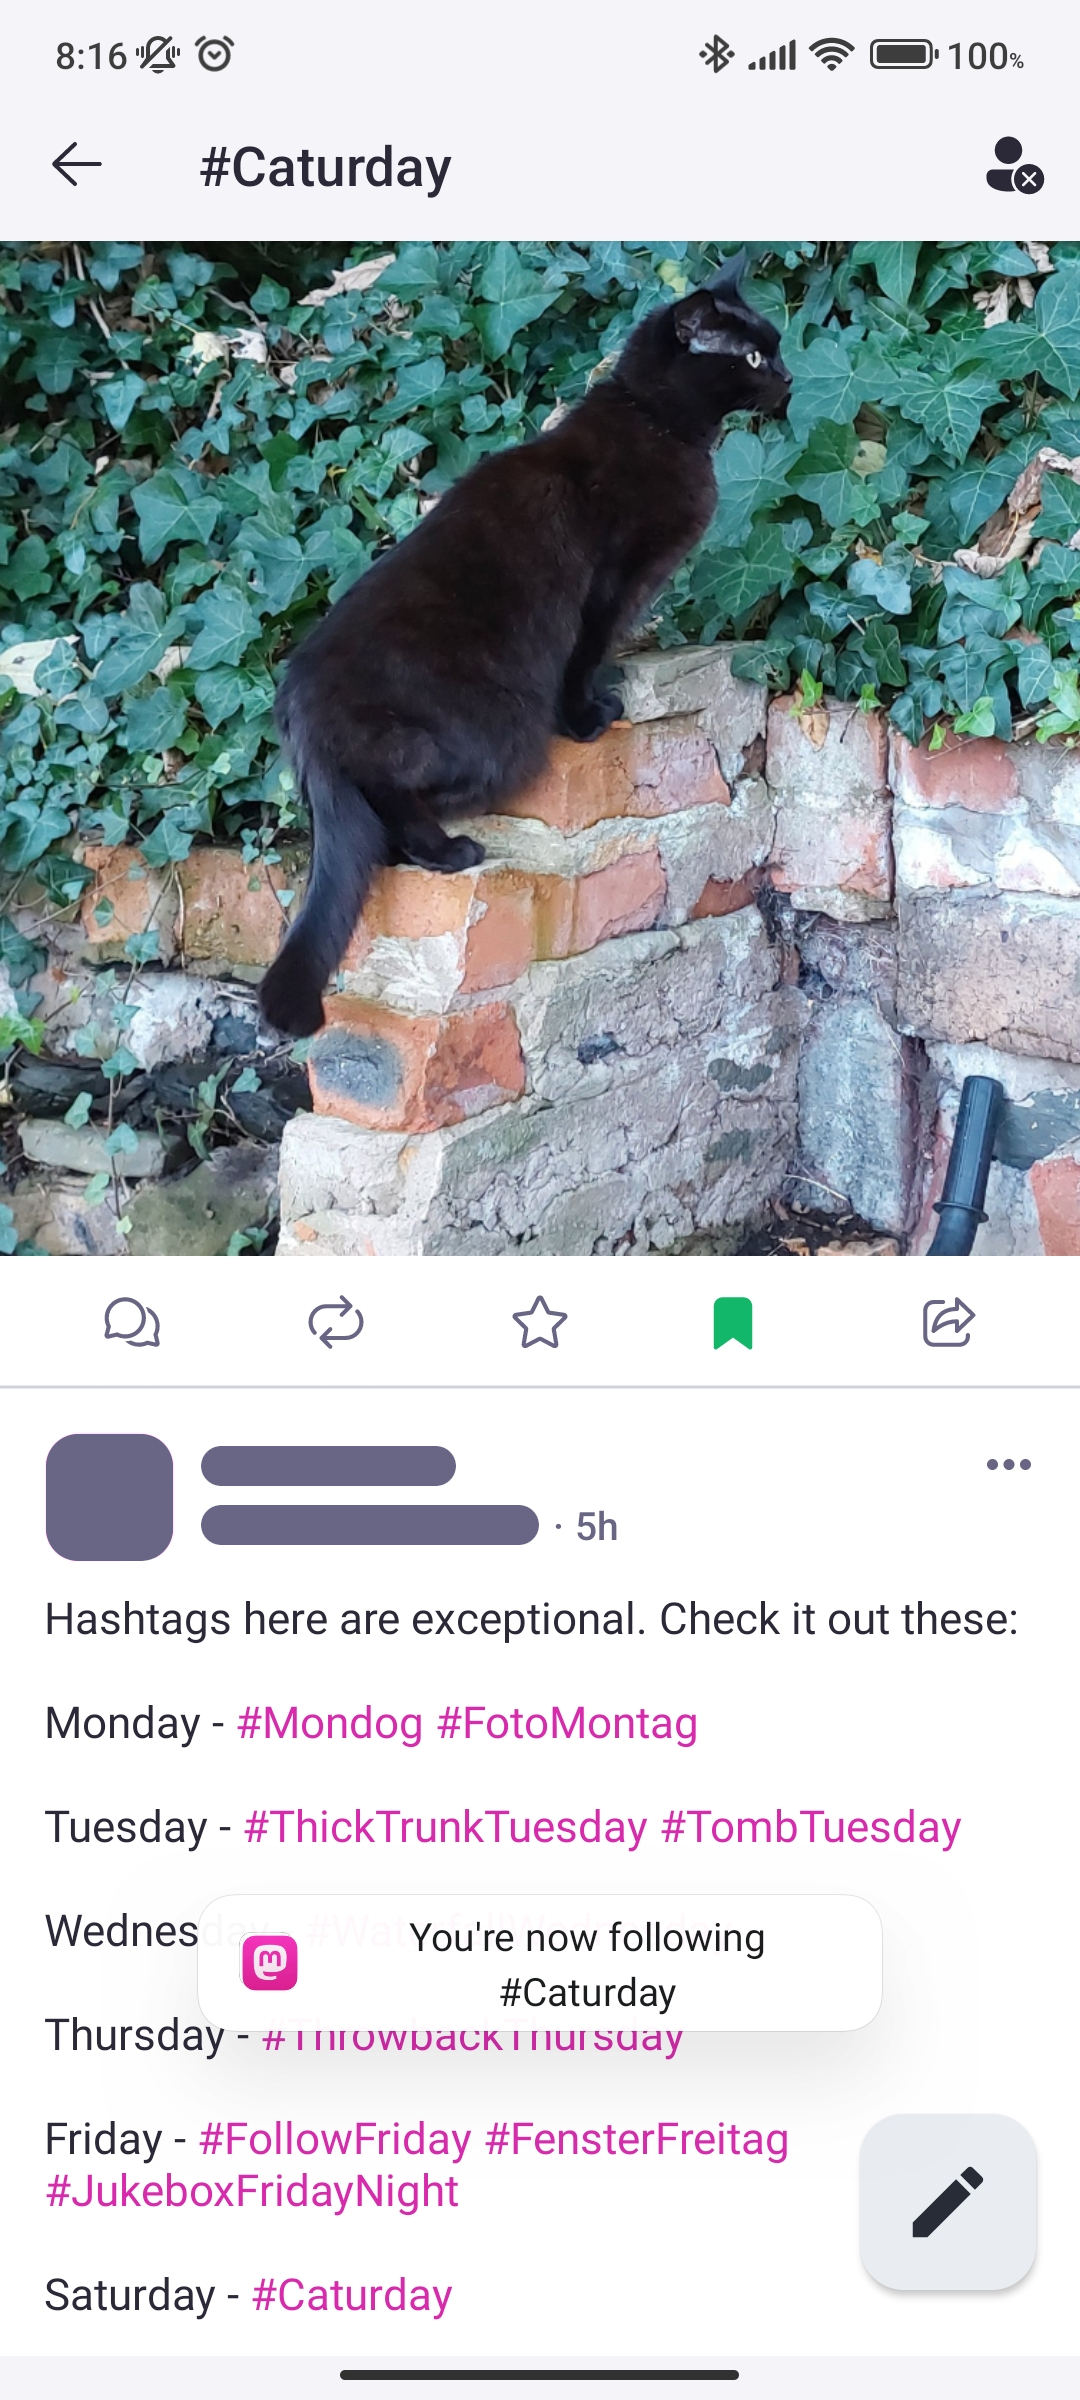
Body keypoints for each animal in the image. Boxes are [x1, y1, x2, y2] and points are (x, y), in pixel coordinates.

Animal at [259, 252, 791, 1036]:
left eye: (774, 348)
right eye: (752, 357)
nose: (787, 377)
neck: (657, 422)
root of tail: (297, 708)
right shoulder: (609, 583)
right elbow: (583, 655)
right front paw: (589, 715)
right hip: (492, 732)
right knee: (394, 796)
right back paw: (447, 851)